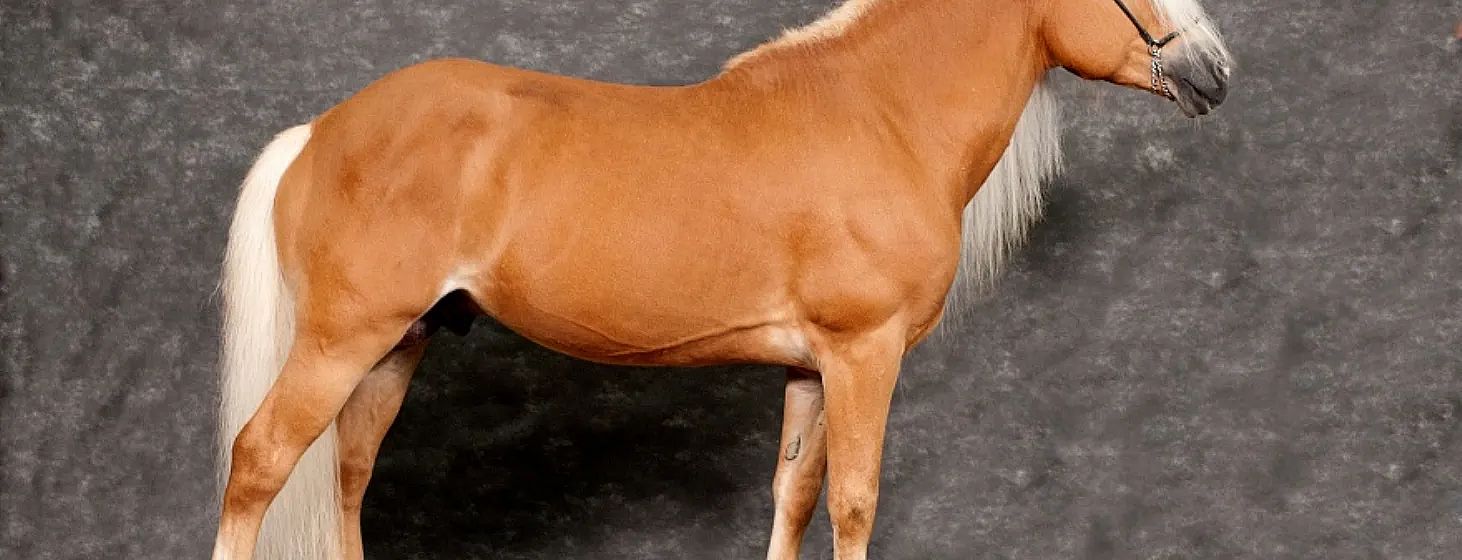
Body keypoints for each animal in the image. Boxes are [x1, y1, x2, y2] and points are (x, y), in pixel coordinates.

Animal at [212, 0, 1232, 558]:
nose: (1214, 73)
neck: (882, 114)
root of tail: (319, 132)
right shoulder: (864, 356)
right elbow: (855, 503)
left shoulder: (812, 368)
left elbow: (794, 497)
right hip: (341, 342)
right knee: (260, 462)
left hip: (400, 345)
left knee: (348, 476)